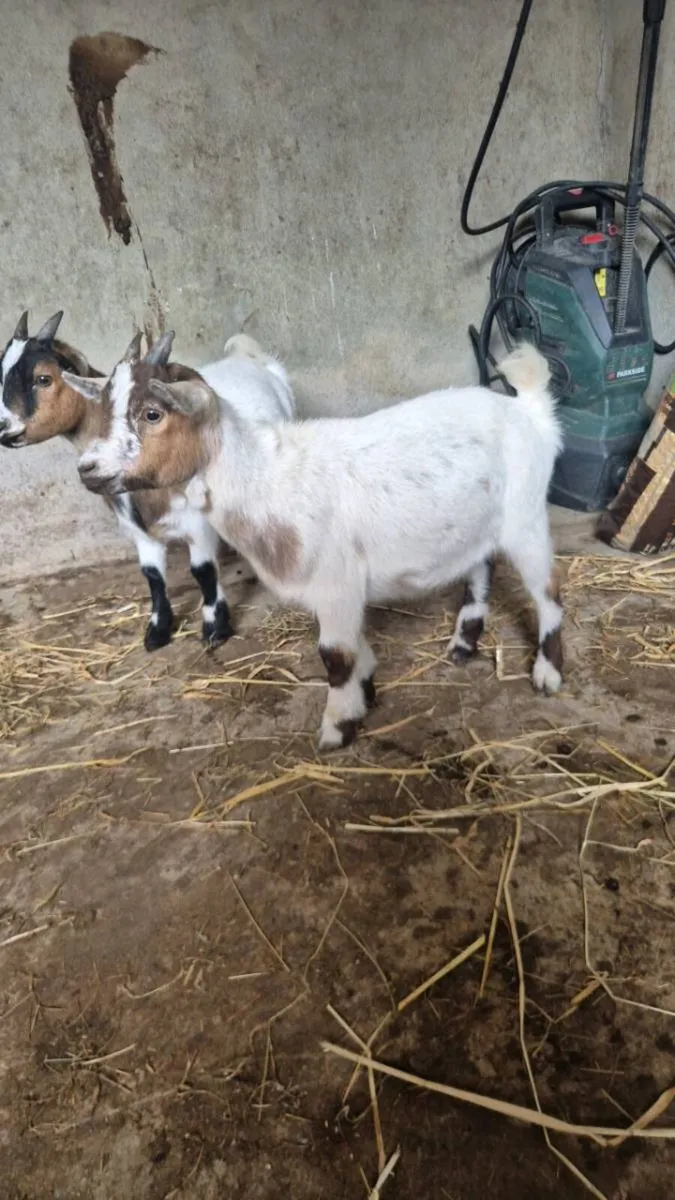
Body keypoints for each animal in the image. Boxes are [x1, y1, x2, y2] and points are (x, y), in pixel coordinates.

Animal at [0, 312, 295, 651]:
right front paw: (158, 629)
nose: (4, 429)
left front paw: (215, 627)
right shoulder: (136, 529)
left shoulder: (197, 525)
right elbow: (152, 576)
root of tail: (249, 357)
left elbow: (203, 571)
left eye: (43, 379)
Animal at [74, 336, 564, 749]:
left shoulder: (336, 581)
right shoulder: (339, 590)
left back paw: (548, 672)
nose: (86, 468)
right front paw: (365, 691)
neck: (262, 476)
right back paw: (464, 642)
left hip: (526, 518)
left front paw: (337, 727)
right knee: (481, 566)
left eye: (153, 414)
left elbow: (334, 656)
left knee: (548, 594)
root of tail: (530, 411)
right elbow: (353, 651)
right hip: (478, 524)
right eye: (103, 409)